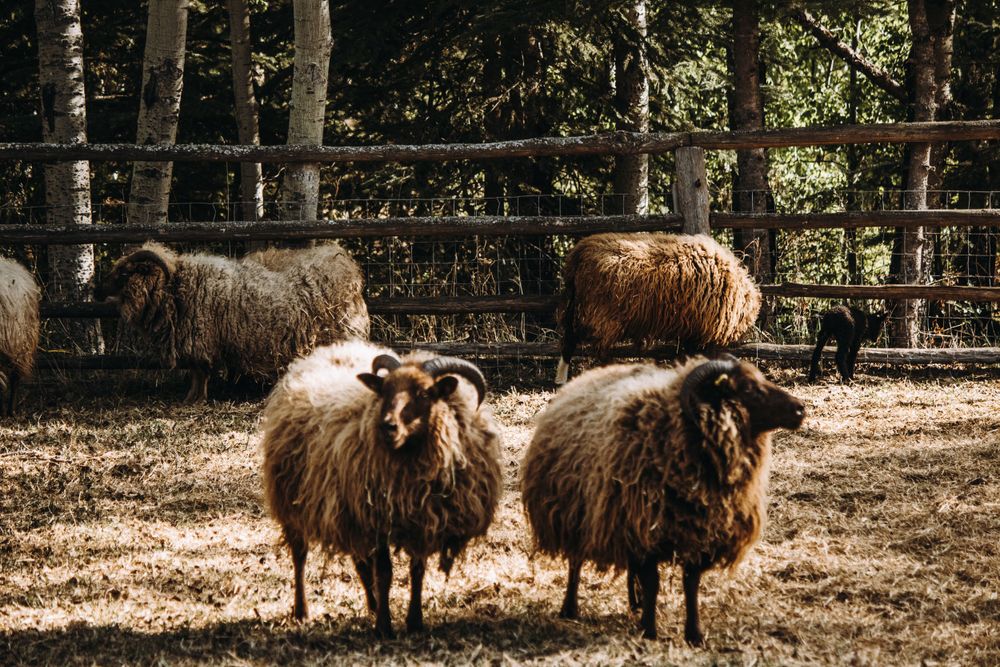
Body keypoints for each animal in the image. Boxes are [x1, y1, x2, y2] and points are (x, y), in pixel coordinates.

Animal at [96, 242, 369, 403]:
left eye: (123, 273)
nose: (95, 289)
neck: (175, 287)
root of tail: (347, 269)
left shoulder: (201, 340)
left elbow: (200, 373)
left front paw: (195, 400)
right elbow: (197, 373)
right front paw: (192, 398)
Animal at [261, 341, 503, 638]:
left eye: (425, 393)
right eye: (385, 390)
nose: (388, 426)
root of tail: (327, 351)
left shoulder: (418, 519)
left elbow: (417, 571)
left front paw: (414, 621)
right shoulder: (378, 517)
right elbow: (385, 572)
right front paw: (385, 627)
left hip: (347, 508)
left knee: (360, 560)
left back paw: (373, 604)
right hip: (292, 498)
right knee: (300, 555)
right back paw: (302, 611)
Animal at [522, 356, 804, 644]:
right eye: (747, 388)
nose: (799, 409)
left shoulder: (697, 532)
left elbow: (691, 584)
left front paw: (694, 634)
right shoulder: (644, 527)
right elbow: (653, 582)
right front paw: (649, 630)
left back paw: (634, 604)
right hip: (576, 513)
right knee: (575, 562)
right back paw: (570, 608)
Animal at [555, 232, 761, 385]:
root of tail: (580, 252)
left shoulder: (691, 328)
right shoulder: (701, 329)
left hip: (578, 307)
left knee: (569, 341)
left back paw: (561, 380)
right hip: (600, 315)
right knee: (598, 349)